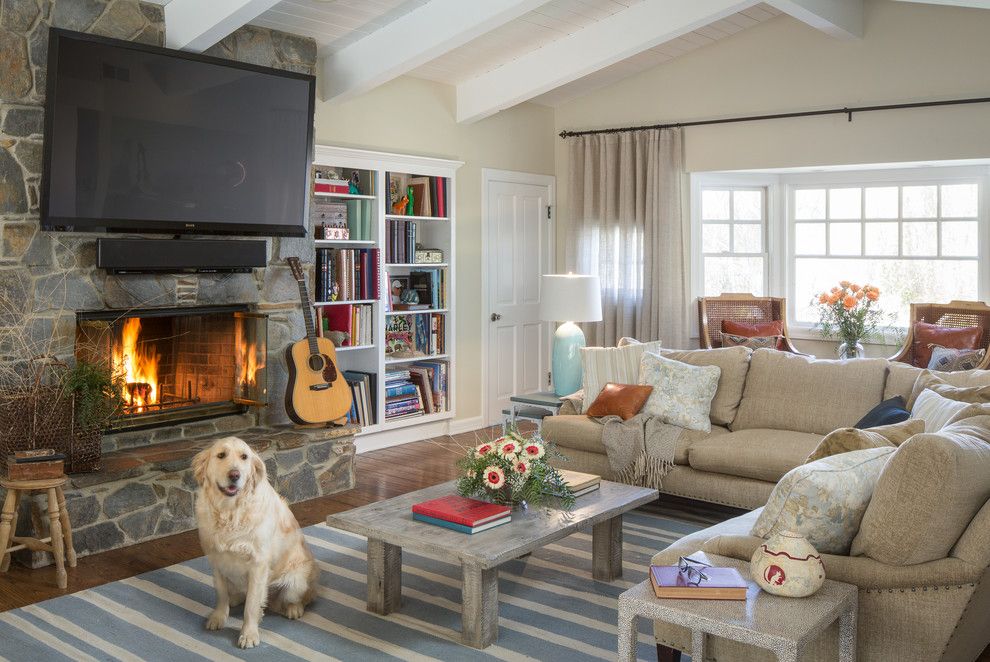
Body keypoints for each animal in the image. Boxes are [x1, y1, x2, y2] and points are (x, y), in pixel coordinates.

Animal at [190, 438, 318, 652]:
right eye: (221, 455)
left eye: (244, 457)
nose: (235, 475)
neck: (230, 513)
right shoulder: (216, 559)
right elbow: (221, 593)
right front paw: (219, 616)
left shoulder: (258, 564)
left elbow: (251, 606)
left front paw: (248, 634)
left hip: (296, 581)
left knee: (302, 598)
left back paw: (294, 609)